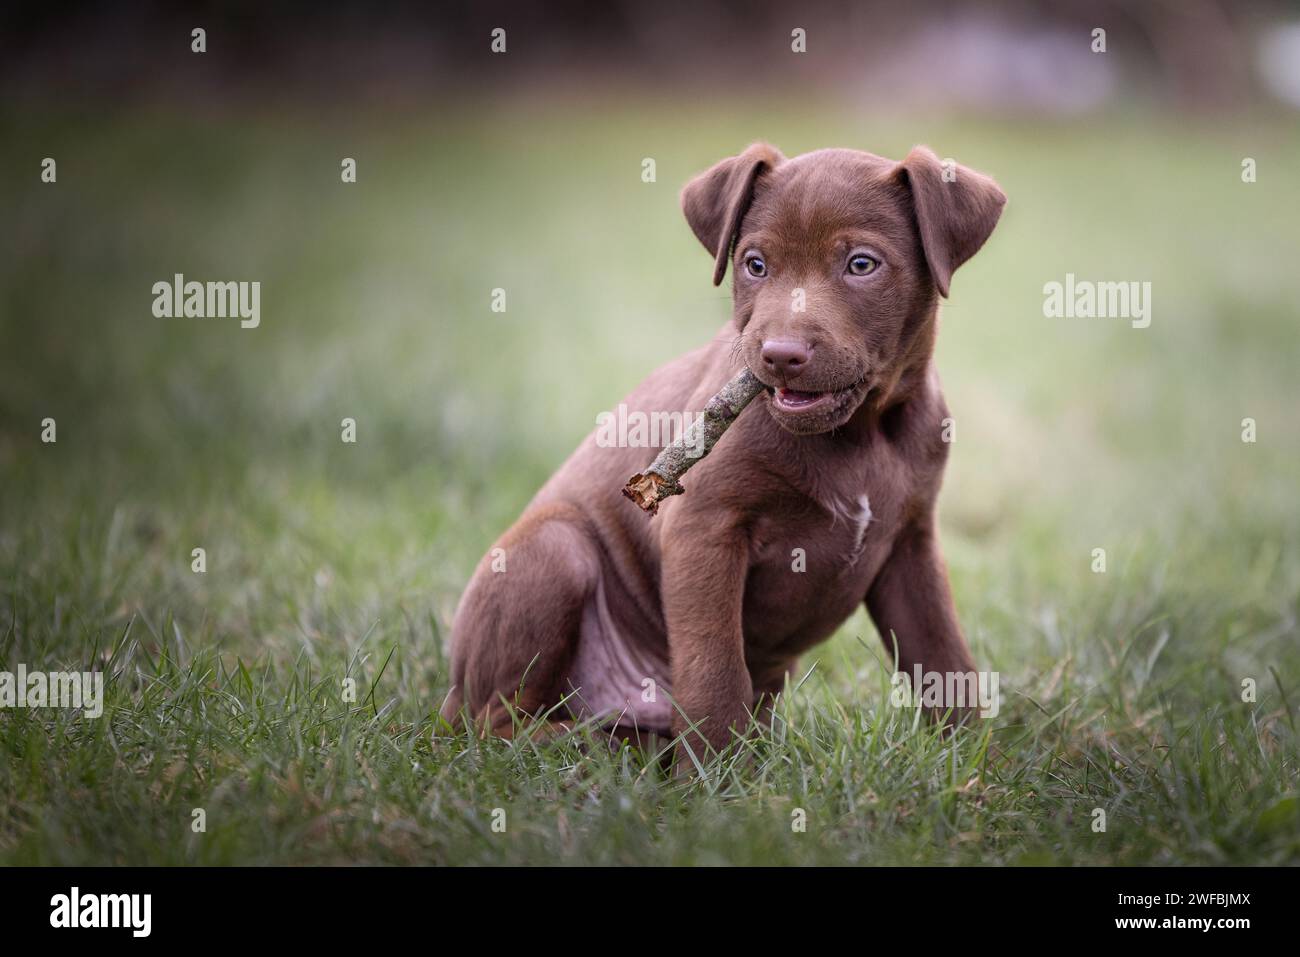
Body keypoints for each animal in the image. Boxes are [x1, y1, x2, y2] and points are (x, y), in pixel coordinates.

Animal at [441, 143, 1008, 754]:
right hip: (555, 548)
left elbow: (943, 657)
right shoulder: (702, 527)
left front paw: (970, 759)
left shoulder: (911, 543)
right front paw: (715, 774)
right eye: (755, 265)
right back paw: (603, 745)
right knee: (496, 724)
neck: (858, 434)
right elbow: (715, 671)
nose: (780, 355)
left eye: (861, 264)